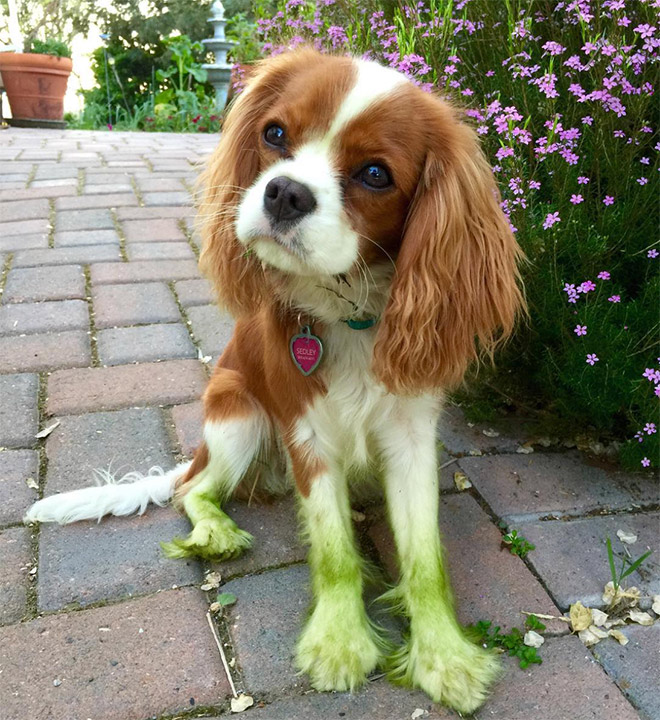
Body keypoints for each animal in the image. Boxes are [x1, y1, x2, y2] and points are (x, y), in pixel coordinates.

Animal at [25, 50, 524, 716]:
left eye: (374, 174)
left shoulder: (412, 438)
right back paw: (216, 531)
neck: (349, 313)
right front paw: (339, 643)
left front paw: (444, 656)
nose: (285, 191)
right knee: (194, 491)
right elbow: (335, 549)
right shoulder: (304, 432)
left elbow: (424, 560)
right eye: (275, 134)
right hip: (236, 414)